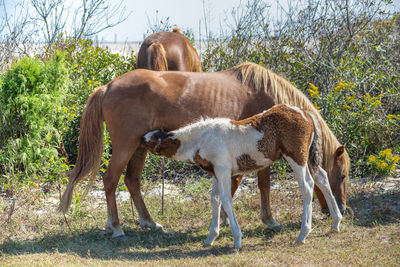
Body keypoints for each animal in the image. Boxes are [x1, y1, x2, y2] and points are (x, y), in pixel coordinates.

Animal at [142, 104, 342, 249]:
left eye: (151, 139)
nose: (139, 139)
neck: (202, 139)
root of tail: (305, 113)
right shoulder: (215, 173)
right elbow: (215, 199)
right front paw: (211, 237)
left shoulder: (223, 169)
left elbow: (226, 199)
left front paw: (237, 239)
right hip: (307, 158)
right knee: (322, 178)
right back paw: (336, 222)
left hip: (296, 157)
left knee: (307, 186)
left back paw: (303, 234)